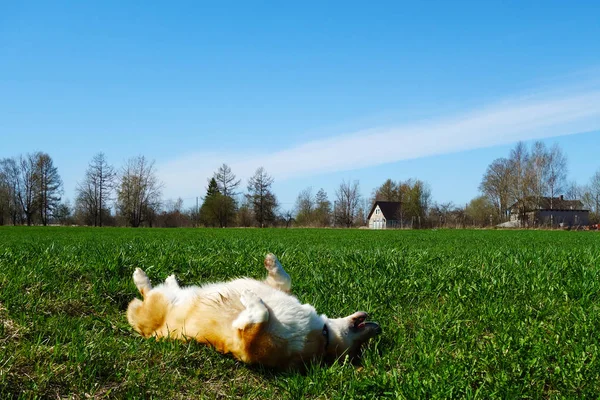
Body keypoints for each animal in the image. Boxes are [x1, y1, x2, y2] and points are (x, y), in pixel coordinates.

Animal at [127, 253, 382, 368]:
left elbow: (261, 313)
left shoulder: (248, 348)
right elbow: (283, 279)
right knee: (155, 290)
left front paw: (250, 298)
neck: (323, 335)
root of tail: (150, 332)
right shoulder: (280, 289)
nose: (378, 328)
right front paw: (272, 263)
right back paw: (164, 278)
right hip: (165, 300)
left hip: (155, 305)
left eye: (358, 350)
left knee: (147, 293)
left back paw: (141, 277)